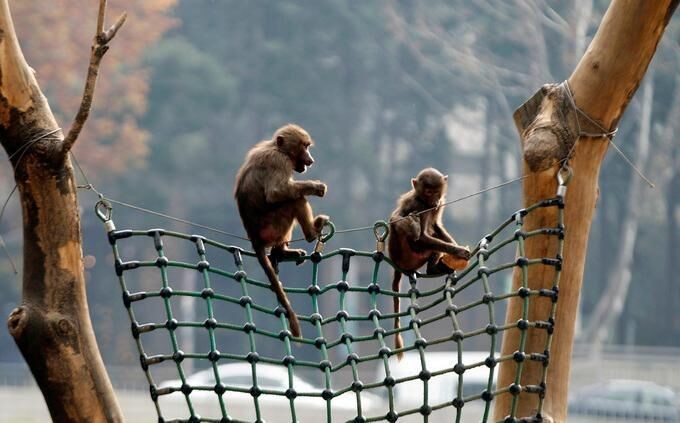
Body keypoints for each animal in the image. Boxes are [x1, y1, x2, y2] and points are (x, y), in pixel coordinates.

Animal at [234, 123, 330, 338]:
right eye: (304, 147)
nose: (311, 160)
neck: (277, 148)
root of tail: (254, 237)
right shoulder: (280, 161)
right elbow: (276, 193)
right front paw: (315, 186)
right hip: (271, 227)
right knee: (294, 200)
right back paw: (312, 233)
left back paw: (283, 252)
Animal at [390, 167, 470, 360]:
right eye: (428, 192)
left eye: (436, 192)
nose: (433, 200)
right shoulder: (420, 207)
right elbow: (424, 237)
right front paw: (458, 251)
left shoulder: (438, 205)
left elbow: (437, 226)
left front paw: (457, 248)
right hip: (409, 255)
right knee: (406, 228)